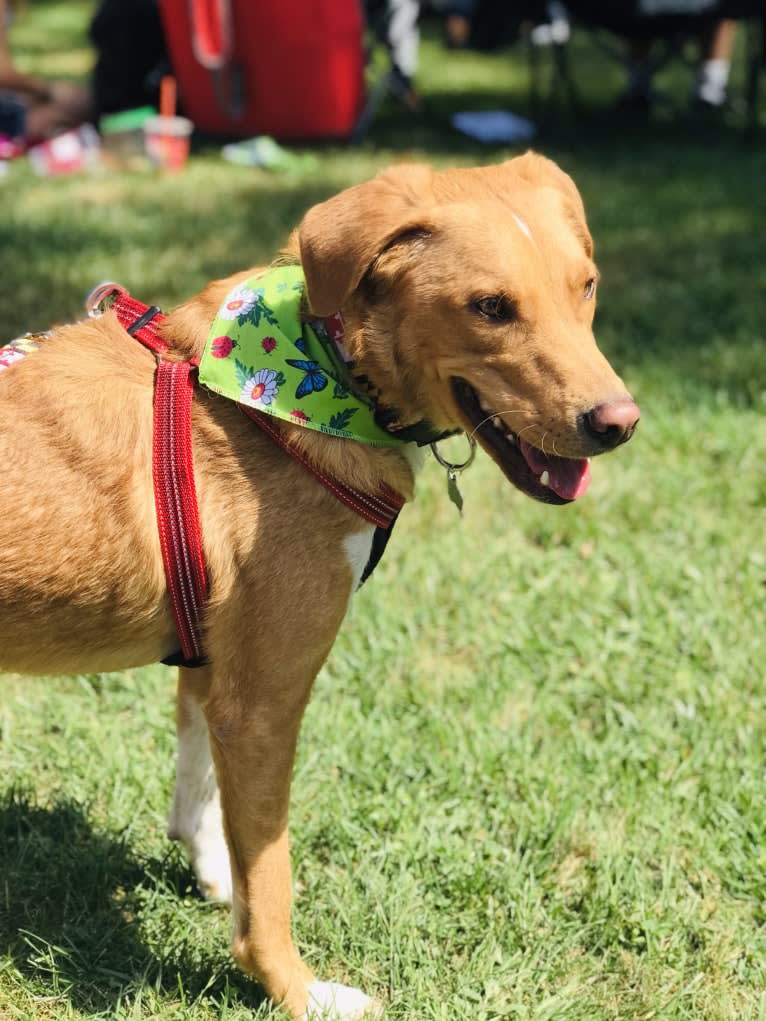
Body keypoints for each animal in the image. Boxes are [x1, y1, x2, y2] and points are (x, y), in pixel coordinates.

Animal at [0, 153, 637, 1021]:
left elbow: (201, 788)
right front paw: (294, 989)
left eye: (588, 285)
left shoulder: (216, 664)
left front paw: (212, 870)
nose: (619, 422)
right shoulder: (264, 703)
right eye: (490, 308)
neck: (314, 376)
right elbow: (272, 881)